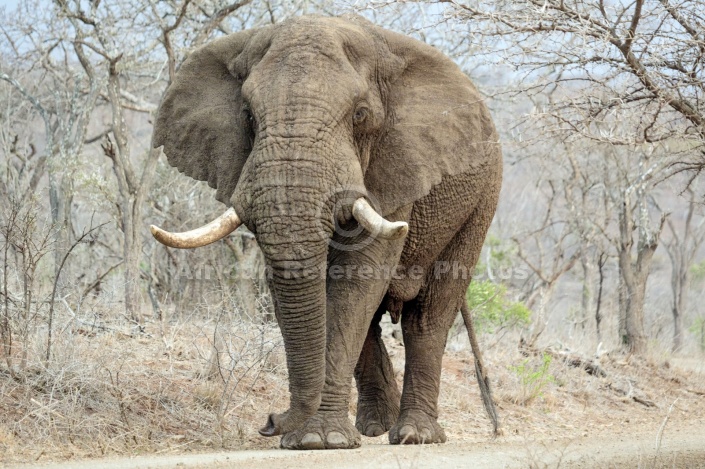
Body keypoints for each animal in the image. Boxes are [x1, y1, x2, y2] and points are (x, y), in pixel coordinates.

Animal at [150, 14, 500, 450]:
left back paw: (413, 435)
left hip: (480, 201)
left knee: (428, 315)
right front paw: (314, 439)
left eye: (361, 115)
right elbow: (306, 285)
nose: (269, 422)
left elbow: (355, 281)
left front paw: (321, 440)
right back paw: (375, 427)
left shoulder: (395, 167)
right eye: (247, 116)